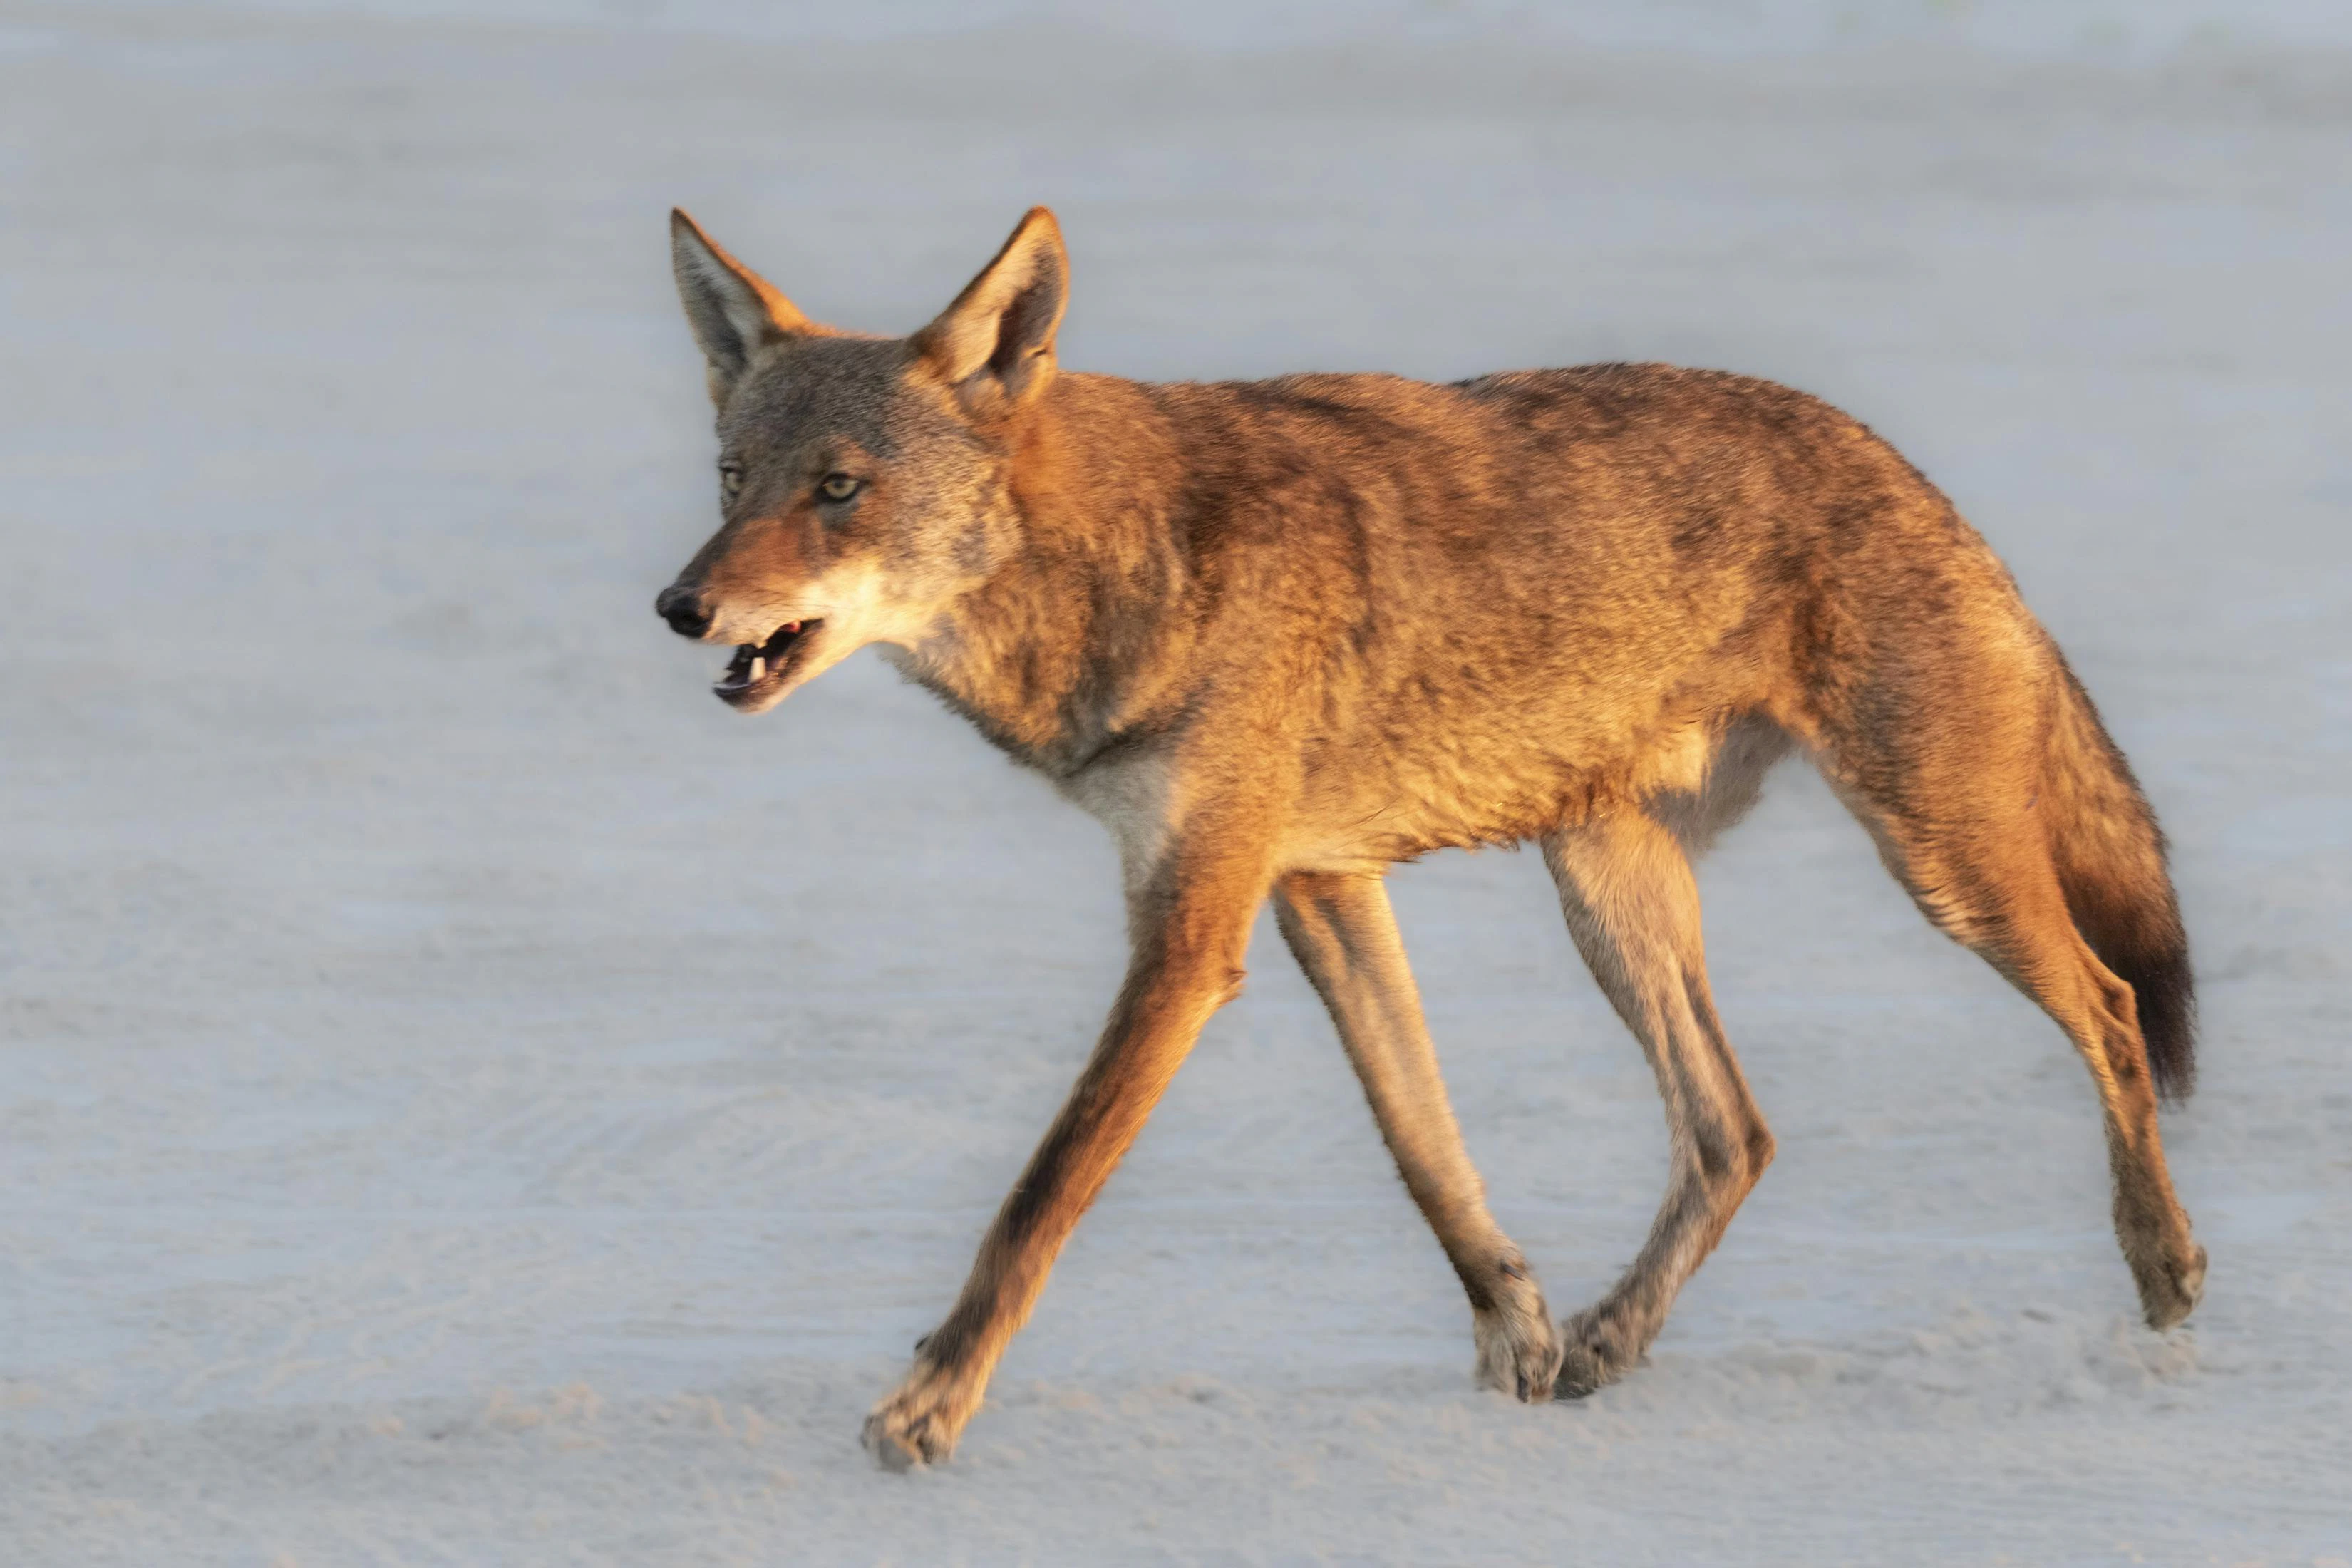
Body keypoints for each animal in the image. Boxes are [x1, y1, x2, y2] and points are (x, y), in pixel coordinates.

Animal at [652, 206, 2205, 1470]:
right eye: (732, 478)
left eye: (838, 488)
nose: (680, 606)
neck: (1130, 558)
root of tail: (1906, 467)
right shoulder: (1320, 890)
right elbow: (1424, 1140)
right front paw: (1519, 1331)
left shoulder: (1193, 932)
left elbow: (1039, 1195)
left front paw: (927, 1408)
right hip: (1609, 890)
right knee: (1735, 1132)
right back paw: (1608, 1342)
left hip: (1942, 871)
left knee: (2114, 1011)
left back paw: (2165, 1271)